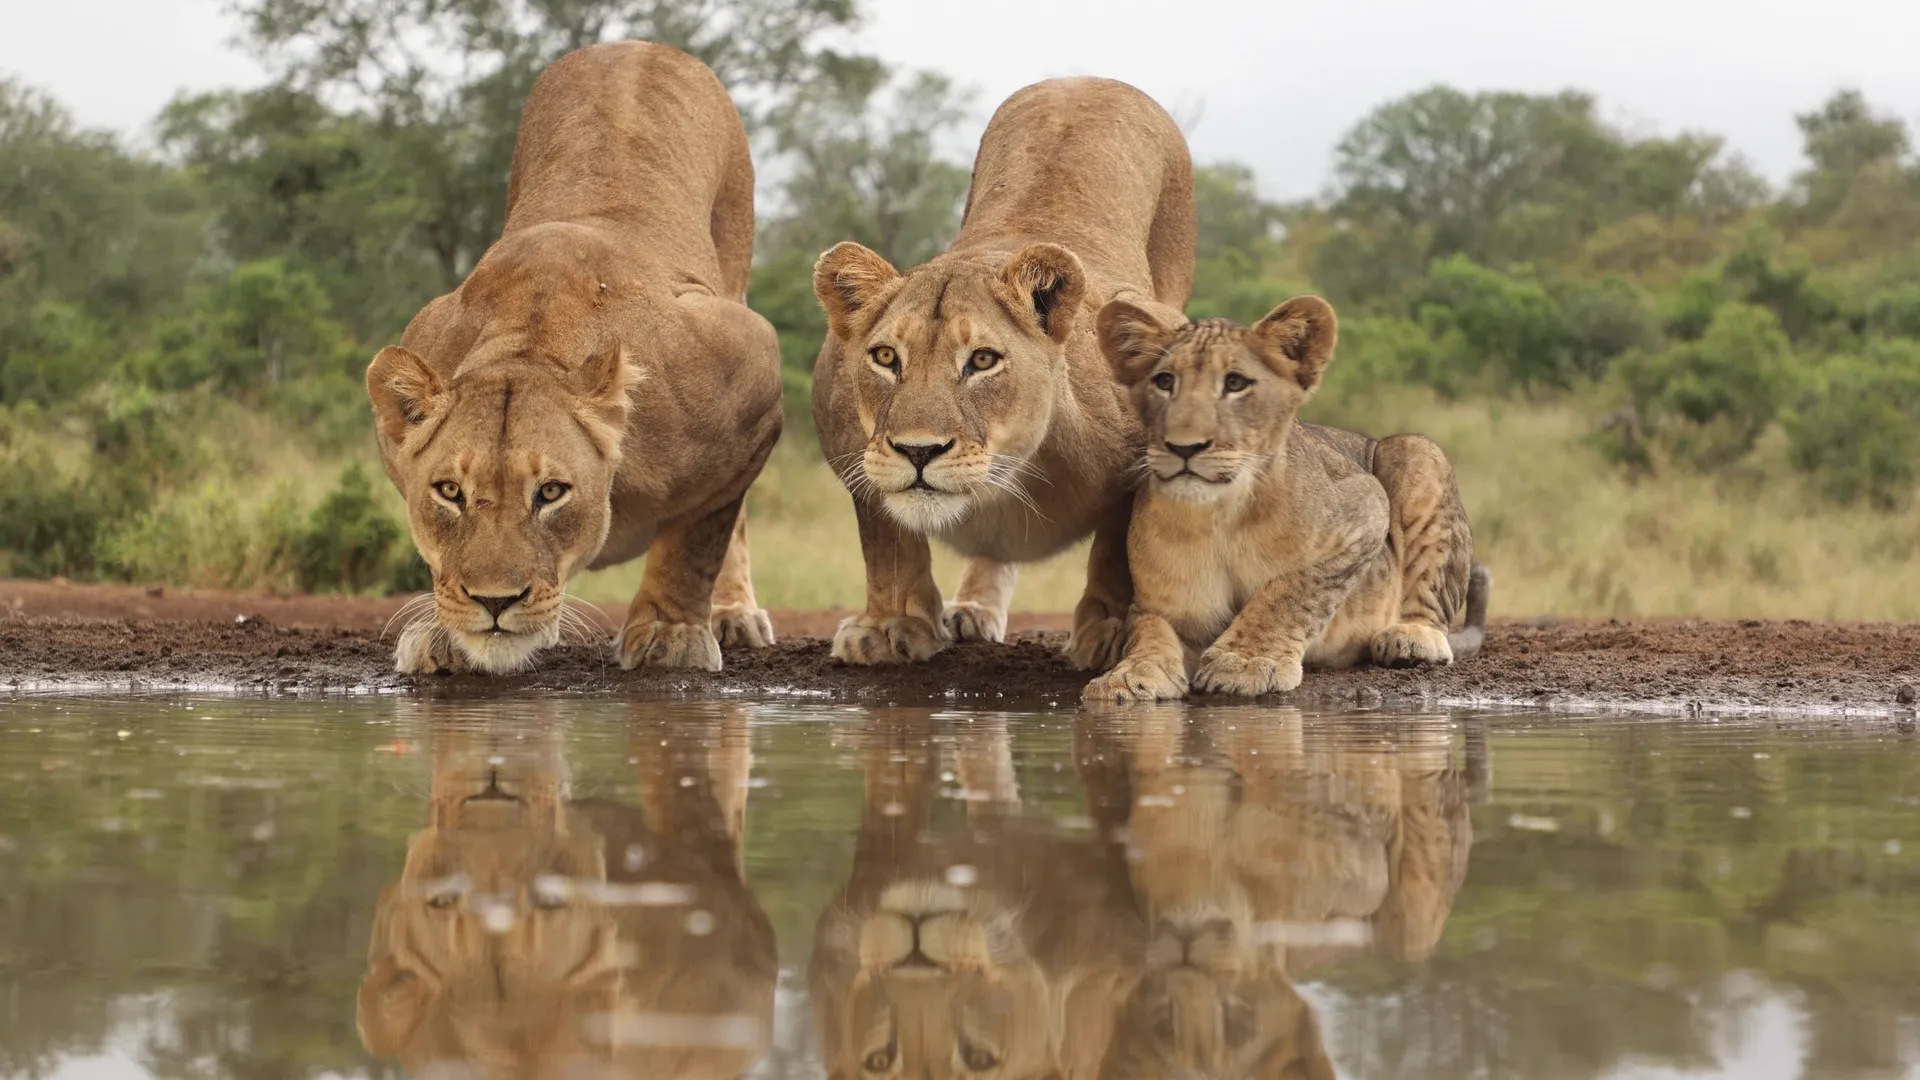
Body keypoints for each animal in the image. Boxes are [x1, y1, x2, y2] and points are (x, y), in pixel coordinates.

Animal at [366, 42, 783, 676]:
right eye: (449, 492)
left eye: (551, 493)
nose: (494, 602)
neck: (532, 346)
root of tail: (635, 43)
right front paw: (446, 636)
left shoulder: (754, 372)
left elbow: (699, 535)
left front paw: (670, 632)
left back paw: (733, 613)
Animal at [809, 77, 1195, 669]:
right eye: (886, 358)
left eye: (983, 360)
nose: (918, 451)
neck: (1011, 476)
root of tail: (1083, 79)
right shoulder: (853, 452)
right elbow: (888, 541)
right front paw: (890, 624)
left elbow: (1117, 549)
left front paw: (1107, 634)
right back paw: (974, 609)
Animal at [1084, 298, 1490, 702]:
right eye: (1165, 381)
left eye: (1235, 383)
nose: (1184, 447)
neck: (1219, 515)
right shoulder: (1165, 604)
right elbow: (1148, 631)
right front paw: (1128, 676)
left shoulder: (1366, 509)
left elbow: (1289, 592)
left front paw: (1244, 661)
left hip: (1417, 452)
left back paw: (1411, 638)